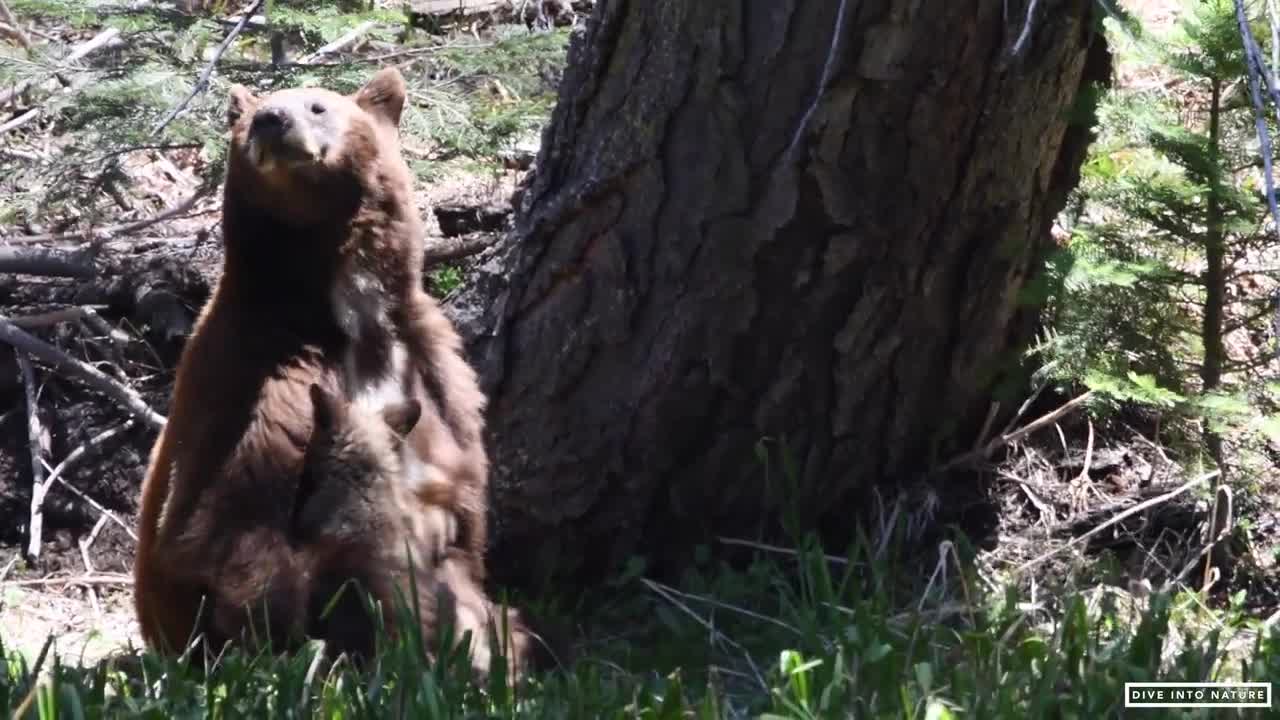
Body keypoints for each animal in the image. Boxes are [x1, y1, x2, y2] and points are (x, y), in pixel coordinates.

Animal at [129, 68, 488, 655]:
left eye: (317, 105)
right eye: (254, 115)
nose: (271, 120)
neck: (345, 314)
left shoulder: (429, 371)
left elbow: (454, 498)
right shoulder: (260, 385)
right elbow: (237, 533)